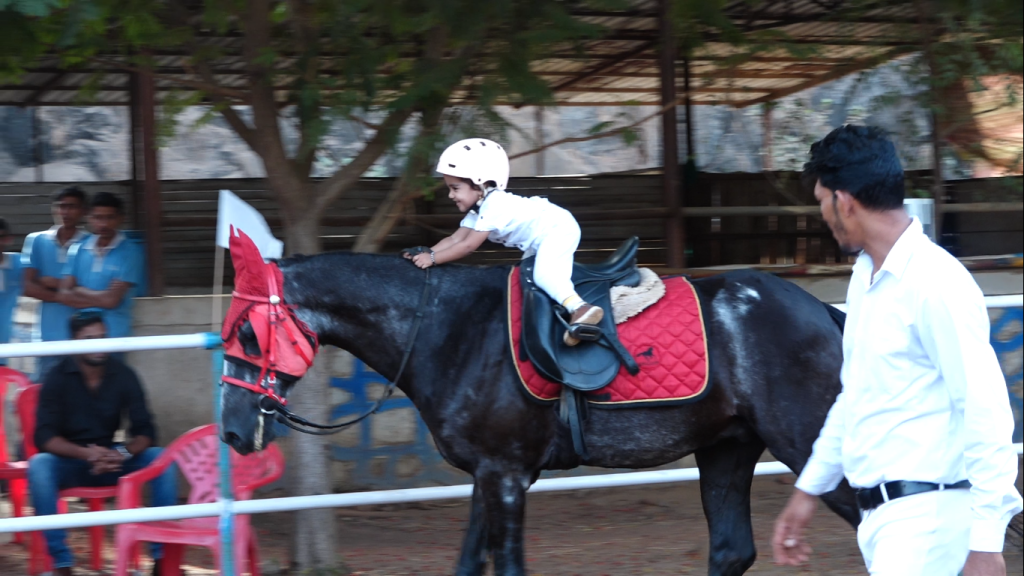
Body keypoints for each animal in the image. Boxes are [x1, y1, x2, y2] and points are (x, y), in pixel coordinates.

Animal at [218, 239, 859, 576]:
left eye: (247, 334)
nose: (231, 431)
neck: (449, 329)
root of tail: (826, 313)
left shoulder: (505, 476)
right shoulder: (488, 475)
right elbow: (469, 565)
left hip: (806, 447)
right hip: (727, 448)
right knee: (731, 550)